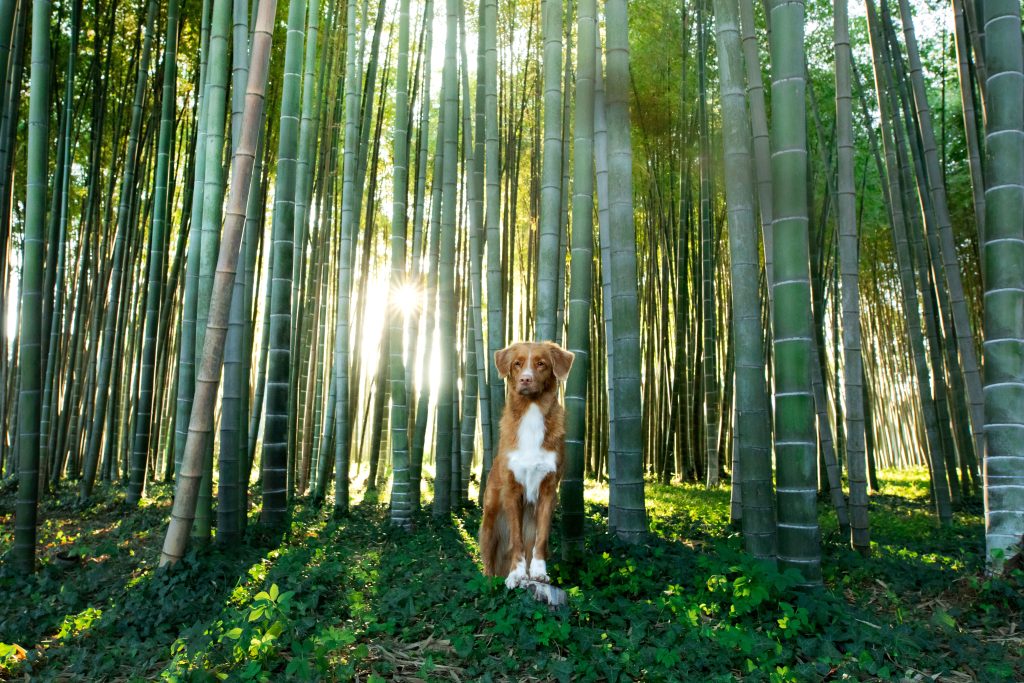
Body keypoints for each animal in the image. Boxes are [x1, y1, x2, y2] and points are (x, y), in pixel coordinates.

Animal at [481, 342, 577, 589]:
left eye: (541, 364)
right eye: (517, 363)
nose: (525, 379)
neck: (532, 411)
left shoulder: (548, 490)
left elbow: (540, 540)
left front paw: (538, 572)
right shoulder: (513, 489)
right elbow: (516, 539)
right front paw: (516, 575)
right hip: (490, 520)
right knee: (488, 560)